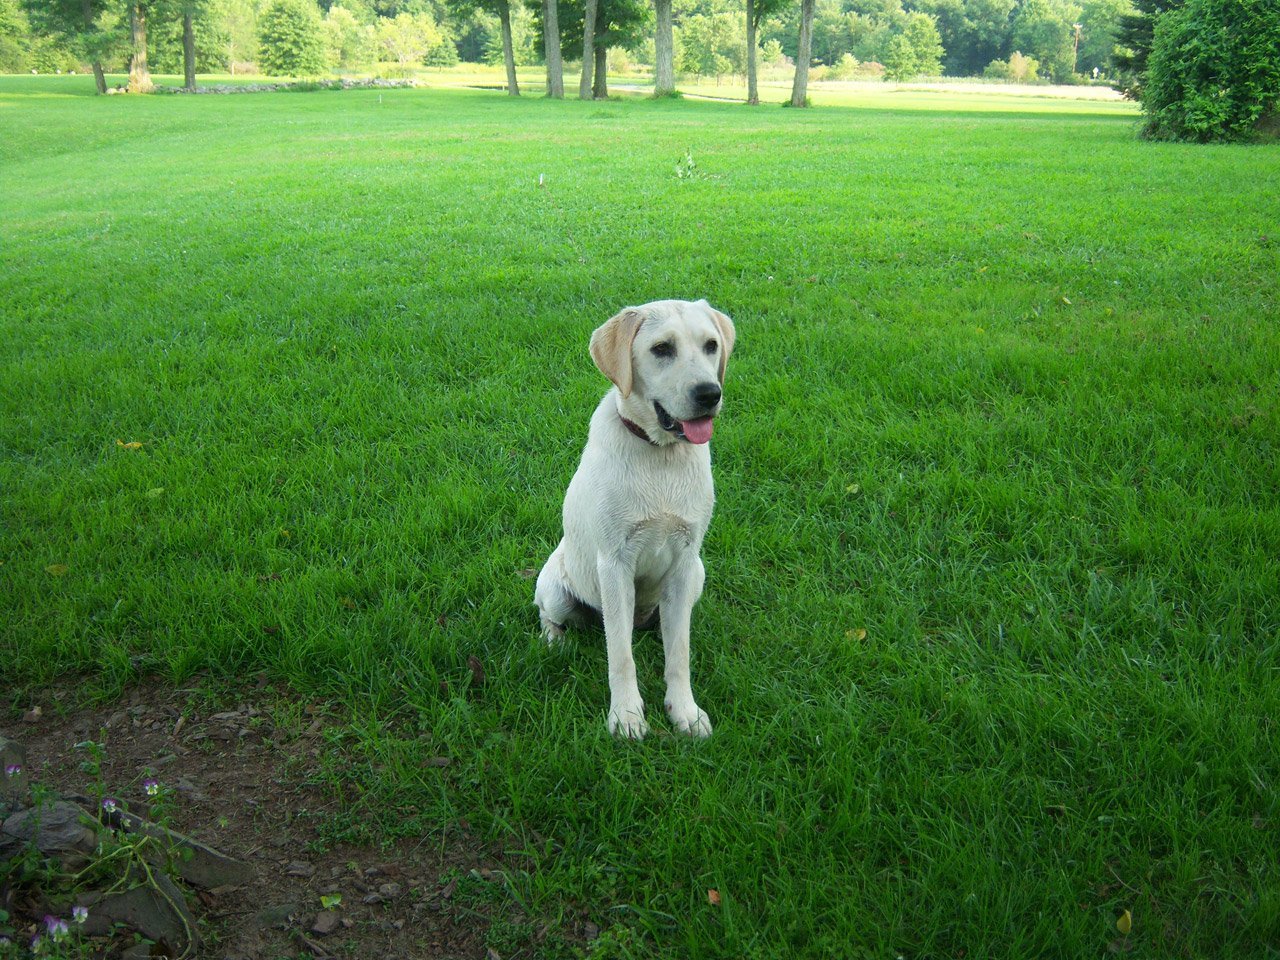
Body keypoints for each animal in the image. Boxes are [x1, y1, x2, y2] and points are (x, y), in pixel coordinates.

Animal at [535, 300, 737, 742]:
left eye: (711, 346)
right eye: (662, 349)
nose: (709, 393)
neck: (661, 456)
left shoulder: (683, 562)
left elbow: (679, 653)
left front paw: (685, 711)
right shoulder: (615, 563)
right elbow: (621, 656)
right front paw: (626, 716)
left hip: (697, 575)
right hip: (556, 587)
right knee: (552, 617)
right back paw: (554, 642)